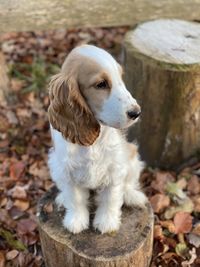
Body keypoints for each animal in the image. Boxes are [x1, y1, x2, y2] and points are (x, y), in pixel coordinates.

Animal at [47, 45, 147, 236]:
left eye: (121, 78)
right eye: (101, 84)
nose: (136, 112)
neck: (93, 142)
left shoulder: (115, 169)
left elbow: (111, 198)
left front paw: (107, 223)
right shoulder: (67, 171)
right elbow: (76, 199)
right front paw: (76, 221)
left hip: (132, 156)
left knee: (129, 183)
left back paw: (133, 196)